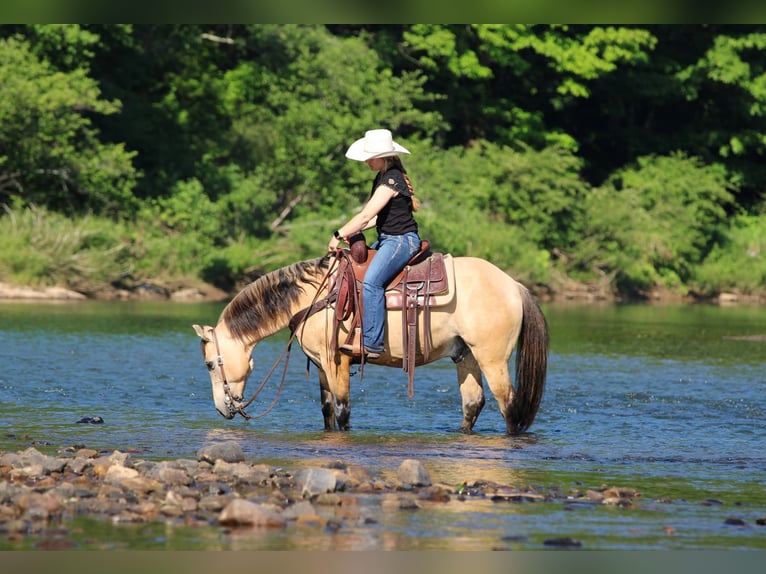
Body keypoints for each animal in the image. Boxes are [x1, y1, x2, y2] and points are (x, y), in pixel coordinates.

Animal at [193, 251, 548, 434]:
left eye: (210, 363)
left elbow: (342, 410)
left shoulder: (336, 361)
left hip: (493, 359)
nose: (222, 408)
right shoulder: (321, 365)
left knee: (509, 405)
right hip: (466, 356)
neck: (314, 297)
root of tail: (514, 285)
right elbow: (327, 410)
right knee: (473, 404)